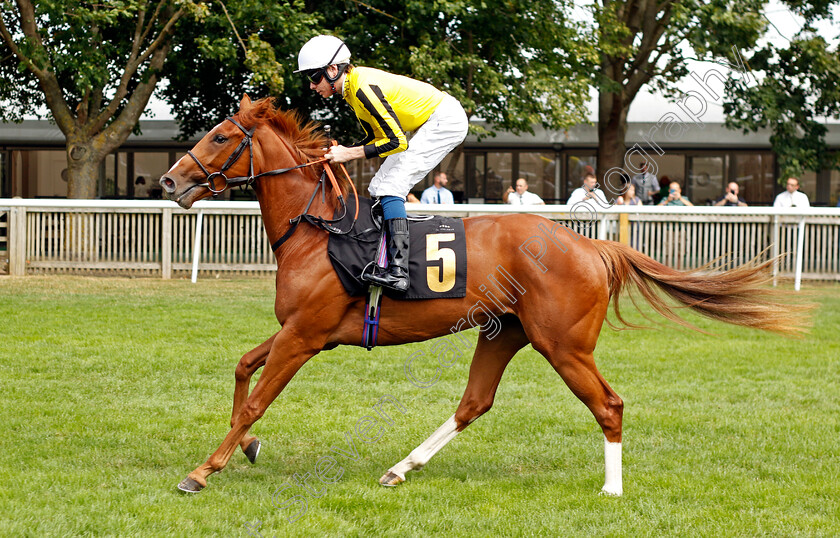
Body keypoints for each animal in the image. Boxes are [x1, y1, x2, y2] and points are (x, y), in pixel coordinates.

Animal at [159, 95, 808, 494]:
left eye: (220, 136)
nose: (168, 180)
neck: (317, 229)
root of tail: (592, 246)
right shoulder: (298, 331)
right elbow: (244, 369)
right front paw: (246, 448)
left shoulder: (305, 335)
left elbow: (255, 399)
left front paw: (203, 469)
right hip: (505, 333)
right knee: (475, 402)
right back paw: (401, 468)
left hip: (564, 345)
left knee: (609, 405)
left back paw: (612, 487)